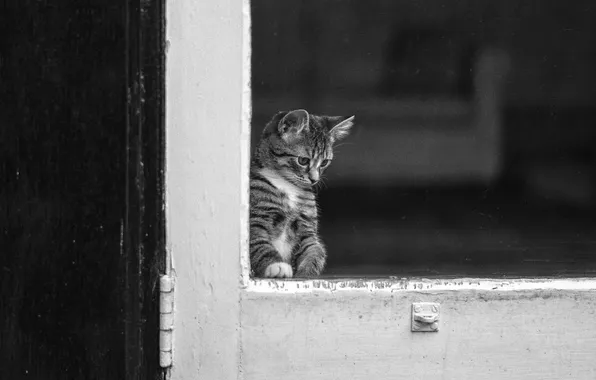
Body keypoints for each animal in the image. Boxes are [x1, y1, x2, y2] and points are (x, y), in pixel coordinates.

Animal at [248, 108, 352, 278]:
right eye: (303, 160)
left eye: (324, 162)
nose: (314, 179)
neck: (288, 186)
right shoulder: (257, 217)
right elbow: (259, 243)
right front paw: (276, 265)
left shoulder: (307, 226)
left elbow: (314, 250)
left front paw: (306, 273)